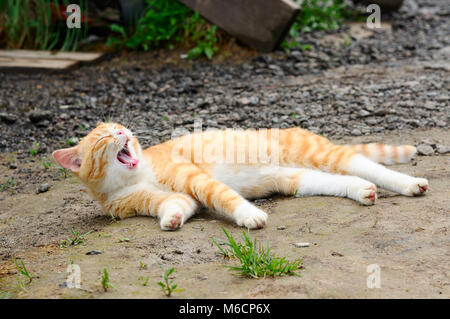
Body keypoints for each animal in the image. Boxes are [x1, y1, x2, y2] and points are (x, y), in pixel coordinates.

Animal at [52, 122, 428, 230]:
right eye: (104, 136)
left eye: (119, 127)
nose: (123, 132)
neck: (135, 176)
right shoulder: (171, 198)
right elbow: (175, 205)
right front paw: (171, 219)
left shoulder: (196, 180)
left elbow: (224, 196)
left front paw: (250, 215)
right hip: (299, 179)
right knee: (344, 181)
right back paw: (363, 191)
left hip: (325, 156)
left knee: (371, 167)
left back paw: (410, 184)